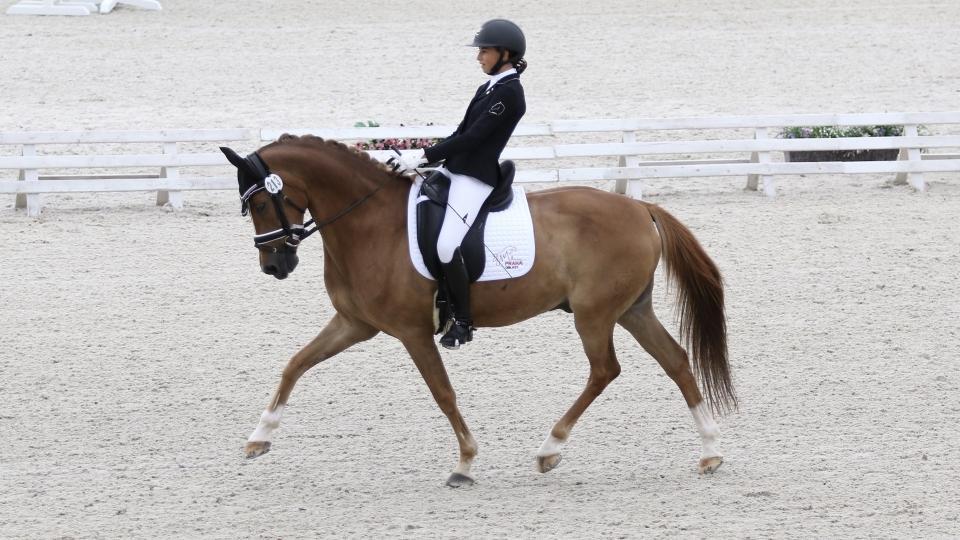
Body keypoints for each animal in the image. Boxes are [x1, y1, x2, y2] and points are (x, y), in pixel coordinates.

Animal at [220, 134, 736, 487]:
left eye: (262, 201)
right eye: (250, 206)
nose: (275, 265)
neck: (368, 224)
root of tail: (640, 208)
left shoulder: (412, 332)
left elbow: (443, 393)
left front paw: (465, 462)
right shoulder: (355, 324)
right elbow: (295, 364)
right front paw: (259, 437)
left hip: (594, 315)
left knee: (605, 370)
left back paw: (550, 448)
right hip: (632, 310)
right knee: (675, 360)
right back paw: (711, 451)